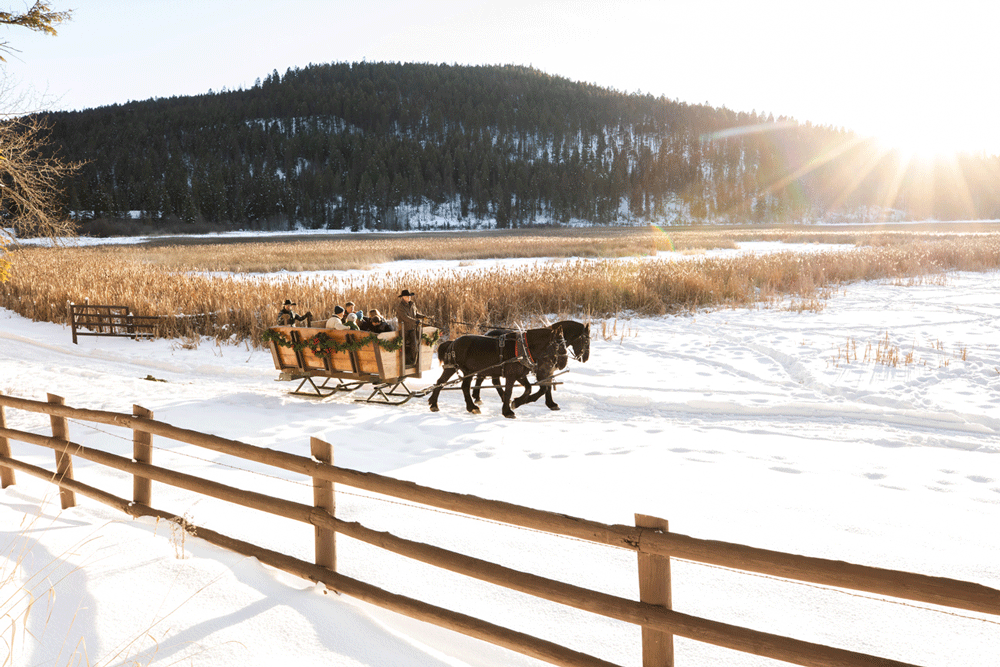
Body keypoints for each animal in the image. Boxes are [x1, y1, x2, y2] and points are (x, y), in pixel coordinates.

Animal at [430, 324, 568, 418]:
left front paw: (517, 402)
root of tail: (452, 342)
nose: (563, 362)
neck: (523, 348)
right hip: (453, 367)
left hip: (468, 371)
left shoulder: (520, 375)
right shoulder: (511, 375)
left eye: (565, 343)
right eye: (559, 344)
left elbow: (529, 388)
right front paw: (507, 411)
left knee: (459, 386)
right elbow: (509, 392)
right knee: (442, 382)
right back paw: (435, 404)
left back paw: (469, 407)